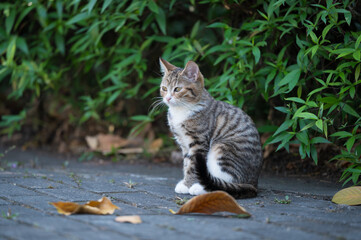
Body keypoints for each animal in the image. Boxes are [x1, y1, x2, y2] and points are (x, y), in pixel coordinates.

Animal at [158, 58, 262, 199]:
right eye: (164, 88)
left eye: (177, 89)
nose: (168, 98)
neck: (182, 110)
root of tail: (253, 183)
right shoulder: (184, 143)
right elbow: (186, 163)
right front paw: (185, 183)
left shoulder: (198, 142)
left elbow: (192, 165)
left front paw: (190, 184)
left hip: (222, 149)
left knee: (224, 185)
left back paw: (201, 188)